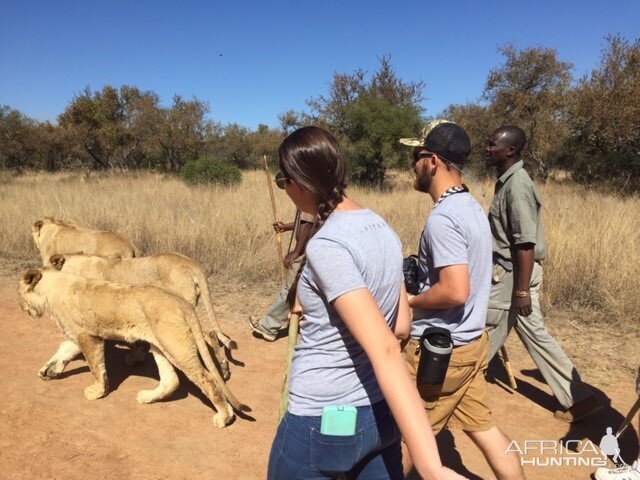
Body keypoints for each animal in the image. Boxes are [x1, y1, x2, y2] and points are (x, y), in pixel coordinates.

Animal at [20, 268, 250, 430]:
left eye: (20, 295)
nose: (23, 310)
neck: (53, 288)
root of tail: (182, 301)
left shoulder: (88, 336)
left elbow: (96, 368)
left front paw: (97, 392)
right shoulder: (75, 337)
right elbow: (62, 353)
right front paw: (47, 370)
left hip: (176, 346)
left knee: (207, 378)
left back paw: (224, 417)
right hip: (160, 346)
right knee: (171, 380)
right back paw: (148, 397)